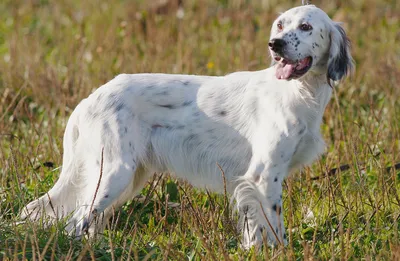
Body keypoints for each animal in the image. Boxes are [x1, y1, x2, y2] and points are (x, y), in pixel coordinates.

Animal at [21, 4, 354, 248]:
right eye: (281, 26)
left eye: (306, 27)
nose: (275, 44)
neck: (299, 91)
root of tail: (91, 98)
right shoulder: (263, 175)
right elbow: (272, 225)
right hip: (114, 173)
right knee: (77, 222)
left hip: (129, 177)